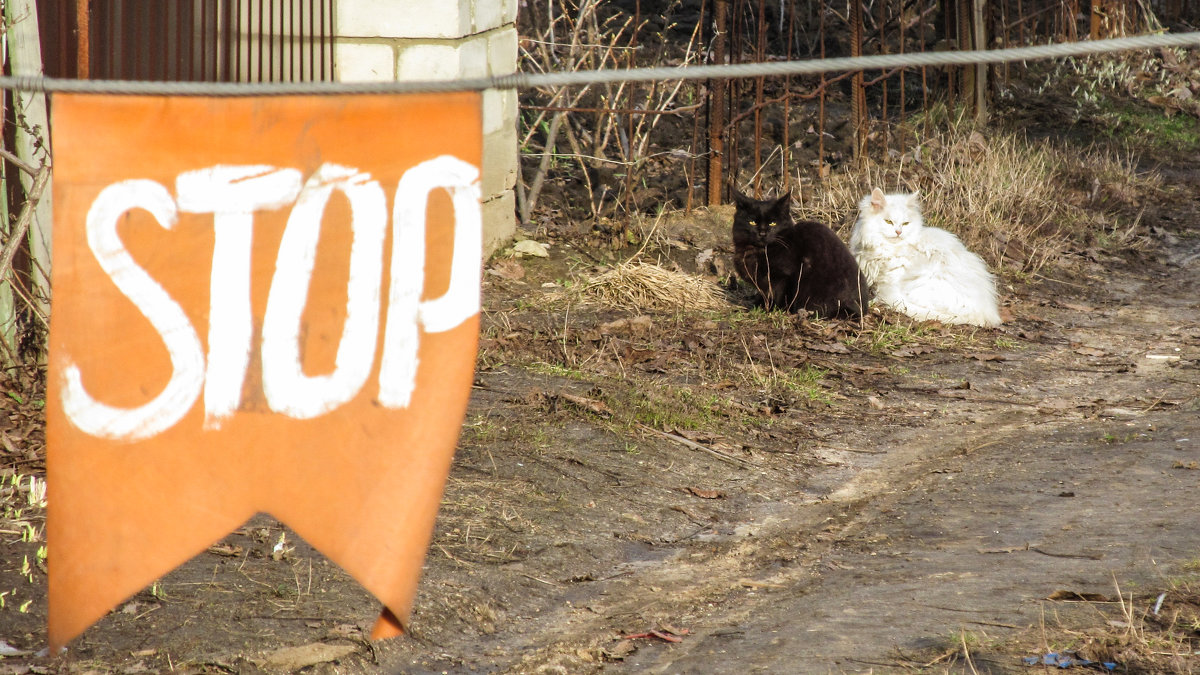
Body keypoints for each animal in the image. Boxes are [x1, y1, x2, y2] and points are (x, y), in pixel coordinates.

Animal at [729, 187, 873, 317]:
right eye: (752, 222)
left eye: (773, 223)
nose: (762, 233)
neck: (759, 251)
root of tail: (862, 308)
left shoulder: (784, 276)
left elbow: (777, 294)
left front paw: (770, 309)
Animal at [854, 187, 1003, 326]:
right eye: (888, 222)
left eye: (905, 224)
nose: (898, 232)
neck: (886, 247)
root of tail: (985, 314)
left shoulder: (893, 277)